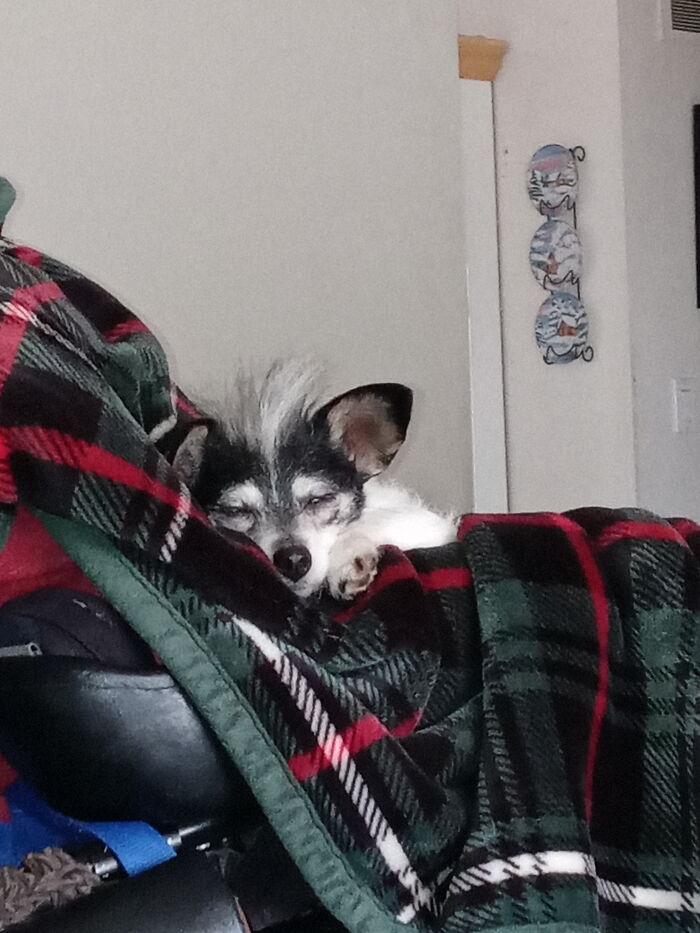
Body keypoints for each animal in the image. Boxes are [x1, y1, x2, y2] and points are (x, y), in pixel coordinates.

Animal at [172, 361, 457, 600]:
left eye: (319, 499)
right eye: (236, 511)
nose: (293, 560)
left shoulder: (429, 524)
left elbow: (370, 521)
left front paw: (346, 559)